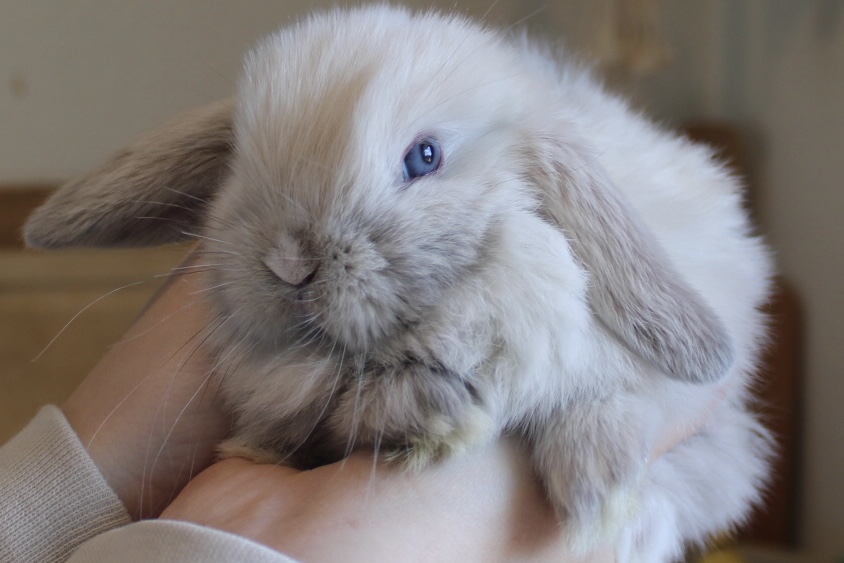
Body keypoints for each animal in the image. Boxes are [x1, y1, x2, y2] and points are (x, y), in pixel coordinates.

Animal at [23, 6, 774, 562]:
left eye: (425, 157)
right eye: (238, 157)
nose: (290, 265)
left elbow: (614, 408)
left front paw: (596, 494)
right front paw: (430, 414)